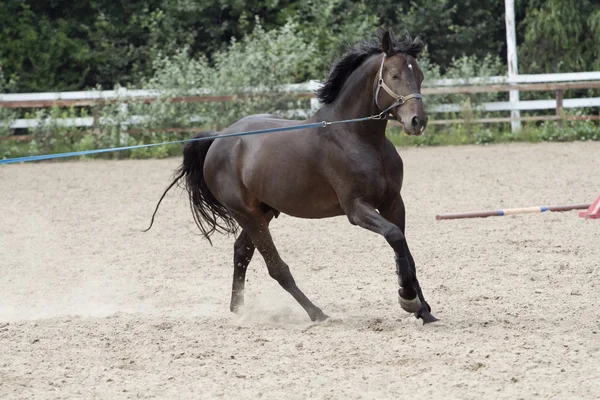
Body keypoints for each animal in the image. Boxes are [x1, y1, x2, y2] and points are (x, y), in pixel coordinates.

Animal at [145, 30, 436, 324]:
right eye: (394, 75)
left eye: (420, 75)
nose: (417, 121)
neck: (358, 137)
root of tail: (219, 138)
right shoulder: (356, 209)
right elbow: (395, 237)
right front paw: (408, 299)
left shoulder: (393, 203)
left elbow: (405, 250)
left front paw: (423, 309)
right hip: (246, 214)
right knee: (276, 267)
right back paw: (316, 313)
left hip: (263, 211)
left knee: (241, 252)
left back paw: (238, 310)